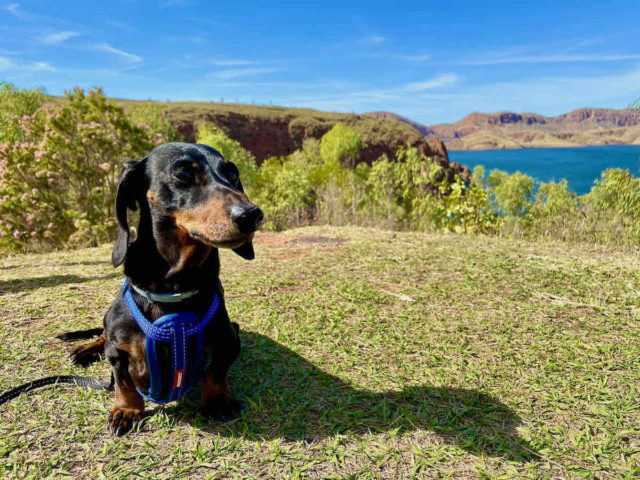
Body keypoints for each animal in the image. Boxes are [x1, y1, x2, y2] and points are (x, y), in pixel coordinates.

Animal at [69, 142, 262, 436]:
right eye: (183, 174)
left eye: (232, 173)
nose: (253, 215)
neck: (174, 289)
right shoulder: (117, 351)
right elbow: (123, 381)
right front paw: (126, 410)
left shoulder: (229, 340)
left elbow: (215, 372)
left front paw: (218, 401)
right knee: (103, 336)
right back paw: (86, 349)